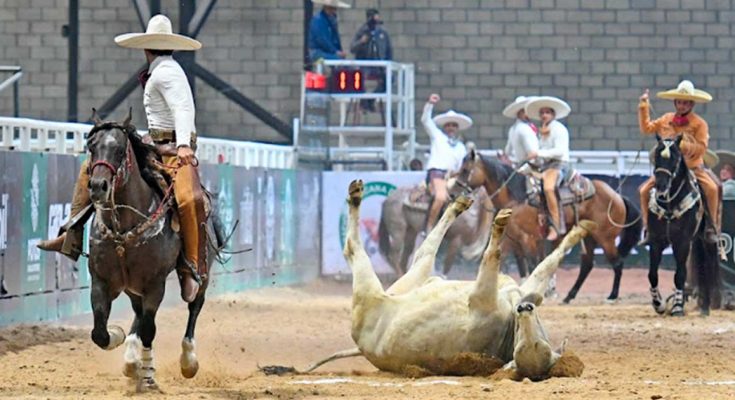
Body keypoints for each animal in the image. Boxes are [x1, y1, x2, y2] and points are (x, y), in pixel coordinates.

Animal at [83, 111, 221, 392]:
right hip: (132, 286)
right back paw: (130, 357)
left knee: (194, 305)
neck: (124, 230)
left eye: (119, 149)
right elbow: (100, 332)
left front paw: (147, 375)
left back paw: (188, 361)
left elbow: (150, 329)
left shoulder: (155, 284)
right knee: (138, 314)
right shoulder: (100, 281)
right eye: (92, 146)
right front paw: (120, 339)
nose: (98, 186)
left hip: (201, 274)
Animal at [304, 180, 600, 380]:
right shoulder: (528, 290)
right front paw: (580, 230)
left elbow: (493, 255)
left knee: (357, 248)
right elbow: (545, 265)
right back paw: (459, 203)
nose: (524, 309)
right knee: (424, 250)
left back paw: (357, 196)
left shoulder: (483, 294)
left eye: (535, 347)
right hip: (412, 280)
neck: (508, 324)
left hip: (376, 288)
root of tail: (361, 348)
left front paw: (499, 224)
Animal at [452, 150, 640, 304]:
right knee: (587, 265)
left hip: (605, 237)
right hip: (589, 237)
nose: (453, 193)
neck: (518, 198)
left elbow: (533, 265)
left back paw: (612, 296)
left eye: (465, 170)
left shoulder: (528, 239)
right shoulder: (511, 240)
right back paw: (569, 296)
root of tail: (617, 196)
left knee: (617, 263)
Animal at [648, 136, 720, 318]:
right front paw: (659, 304)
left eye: (674, 158)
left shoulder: (682, 243)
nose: (661, 185)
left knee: (706, 267)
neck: (669, 204)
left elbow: (680, 275)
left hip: (705, 240)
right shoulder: (656, 241)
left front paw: (677, 307)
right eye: (657, 156)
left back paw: (705, 307)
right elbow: (652, 274)